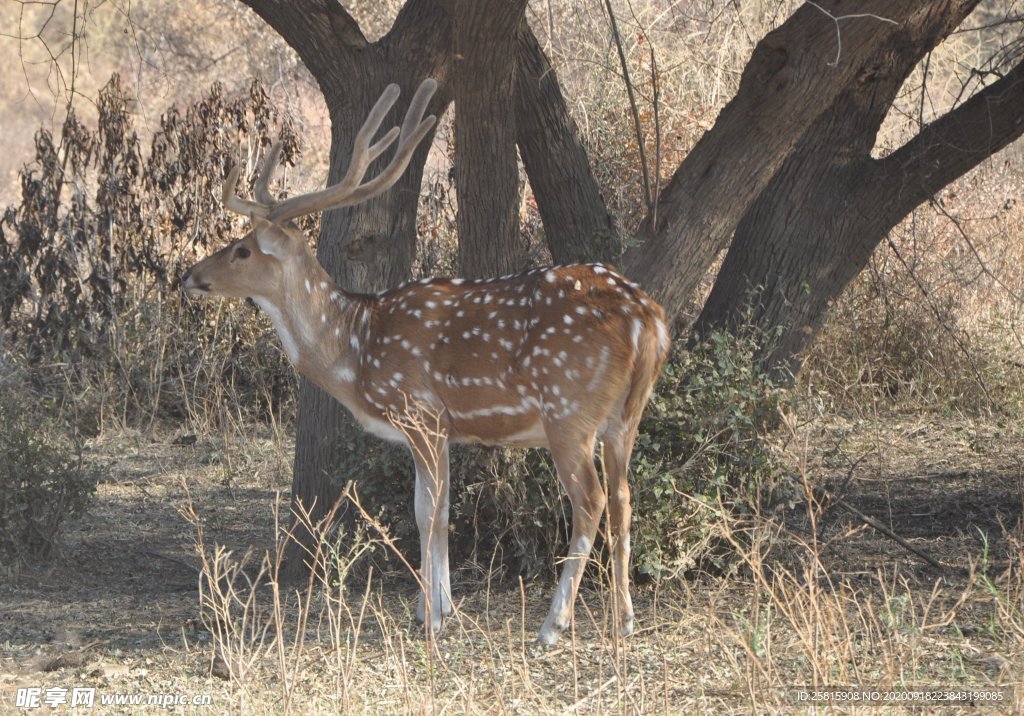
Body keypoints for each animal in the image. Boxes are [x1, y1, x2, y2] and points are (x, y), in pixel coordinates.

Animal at [184, 78, 671, 643]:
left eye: (241, 250)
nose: (188, 275)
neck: (356, 349)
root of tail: (649, 319)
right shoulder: (439, 428)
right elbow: (437, 508)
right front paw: (437, 606)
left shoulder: (420, 411)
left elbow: (427, 513)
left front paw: (434, 615)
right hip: (625, 416)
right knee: (624, 498)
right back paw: (625, 619)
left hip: (569, 410)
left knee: (589, 501)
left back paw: (553, 624)